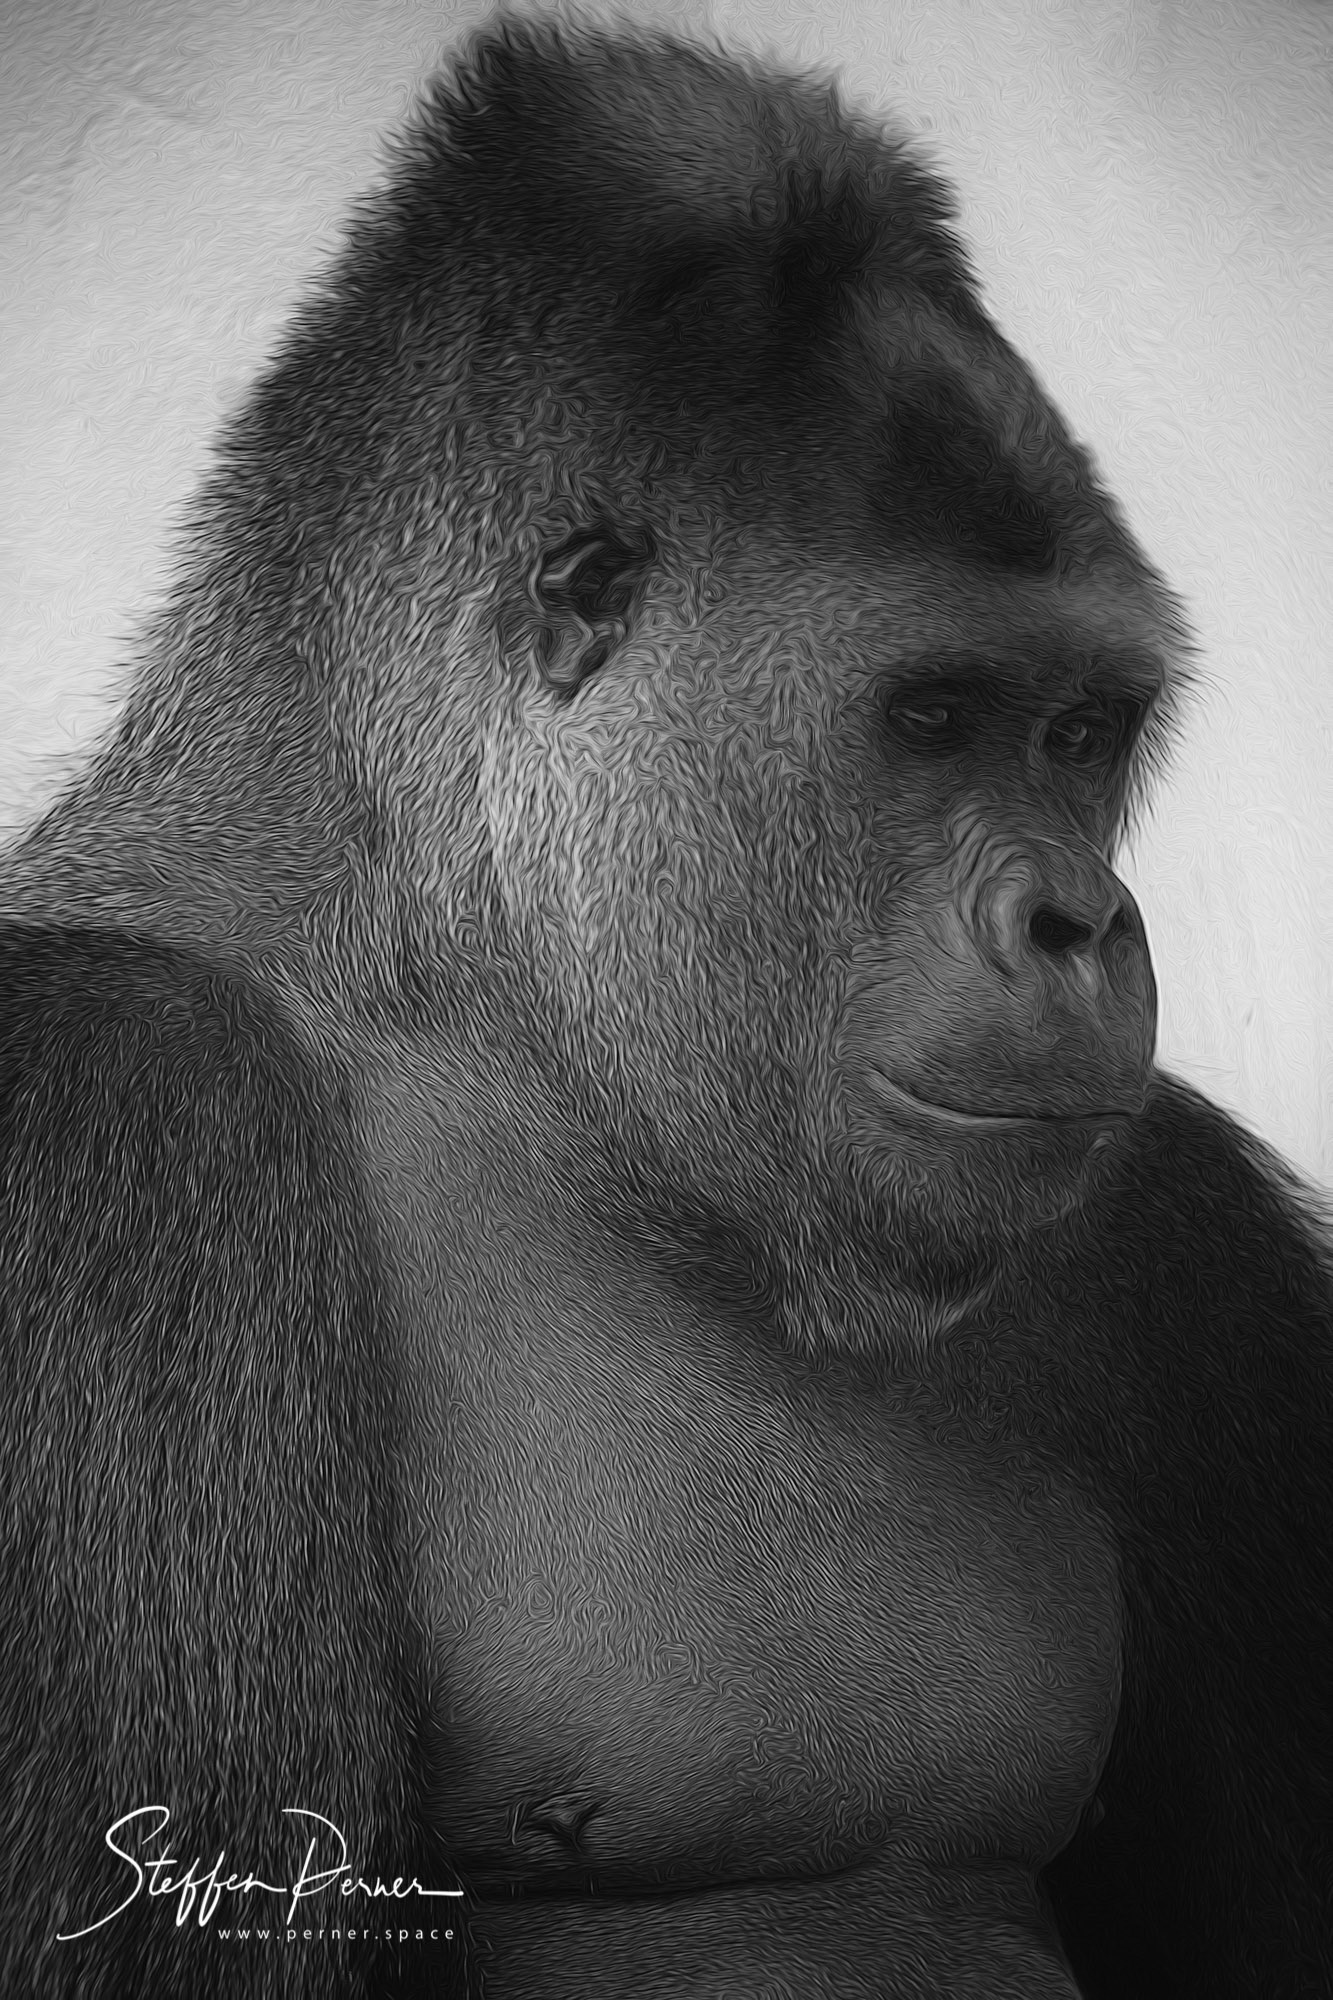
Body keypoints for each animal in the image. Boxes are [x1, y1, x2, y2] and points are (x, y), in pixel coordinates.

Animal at [0, 15, 1329, 1999]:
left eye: (1080, 733)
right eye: (932, 716)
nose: (1081, 920)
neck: (492, 1002)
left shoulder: (1179, 1229)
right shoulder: (110, 1098)